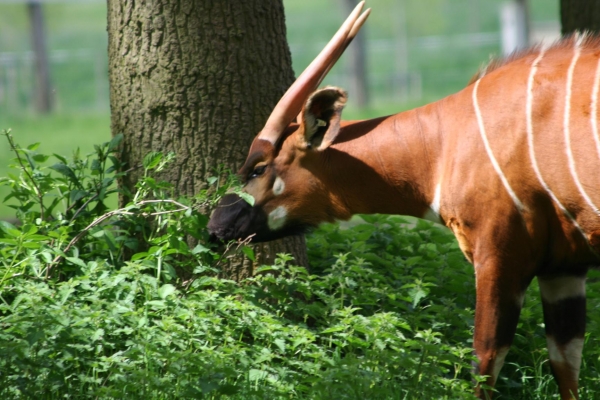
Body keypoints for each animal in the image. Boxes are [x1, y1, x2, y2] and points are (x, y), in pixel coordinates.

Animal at [207, 2, 600, 396]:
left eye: (257, 169)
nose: (214, 226)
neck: (446, 141)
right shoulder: (563, 267)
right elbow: (565, 364)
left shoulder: (499, 254)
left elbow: (485, 359)